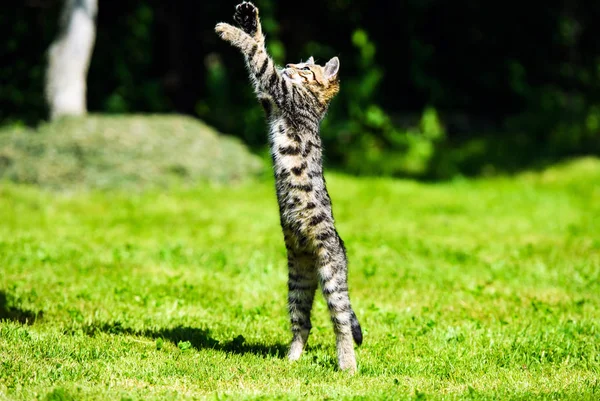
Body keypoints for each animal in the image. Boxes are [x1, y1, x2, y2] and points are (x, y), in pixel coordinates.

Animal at [218, 1, 364, 374]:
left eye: (306, 69)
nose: (290, 66)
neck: (315, 104)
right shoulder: (269, 100)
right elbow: (258, 45)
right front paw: (249, 18)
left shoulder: (278, 89)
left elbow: (258, 55)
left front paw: (230, 30)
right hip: (297, 281)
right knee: (304, 323)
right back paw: (291, 359)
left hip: (330, 278)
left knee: (341, 322)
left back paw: (348, 364)